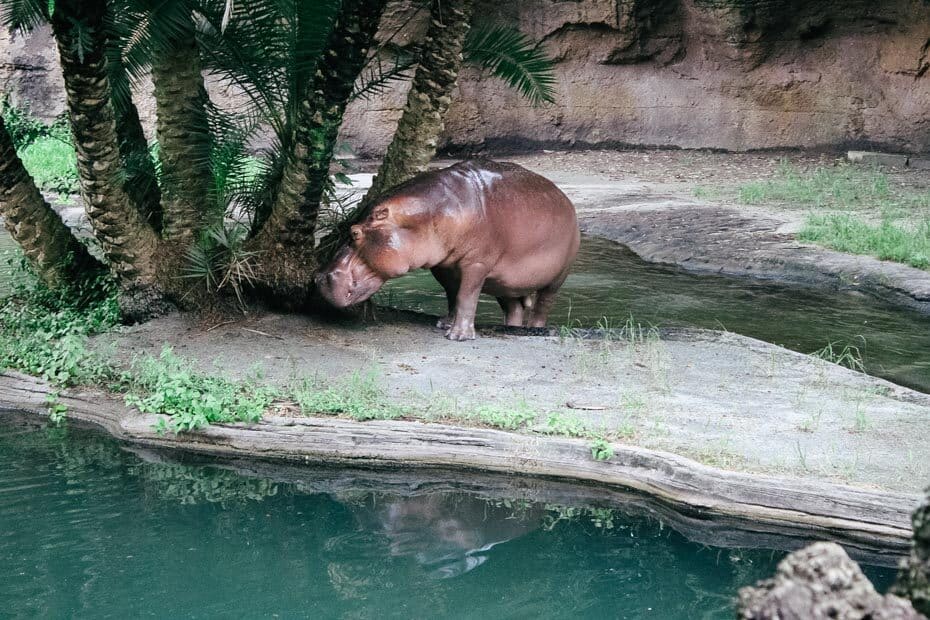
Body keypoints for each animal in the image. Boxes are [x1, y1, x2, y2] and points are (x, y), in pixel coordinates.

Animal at [316, 160, 576, 340]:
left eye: (354, 233)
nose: (318, 277)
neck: (438, 211)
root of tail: (565, 199)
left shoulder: (476, 264)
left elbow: (466, 296)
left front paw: (458, 336)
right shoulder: (444, 267)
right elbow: (452, 296)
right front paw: (444, 324)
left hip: (558, 277)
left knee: (543, 304)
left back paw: (536, 329)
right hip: (506, 283)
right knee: (513, 308)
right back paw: (510, 328)